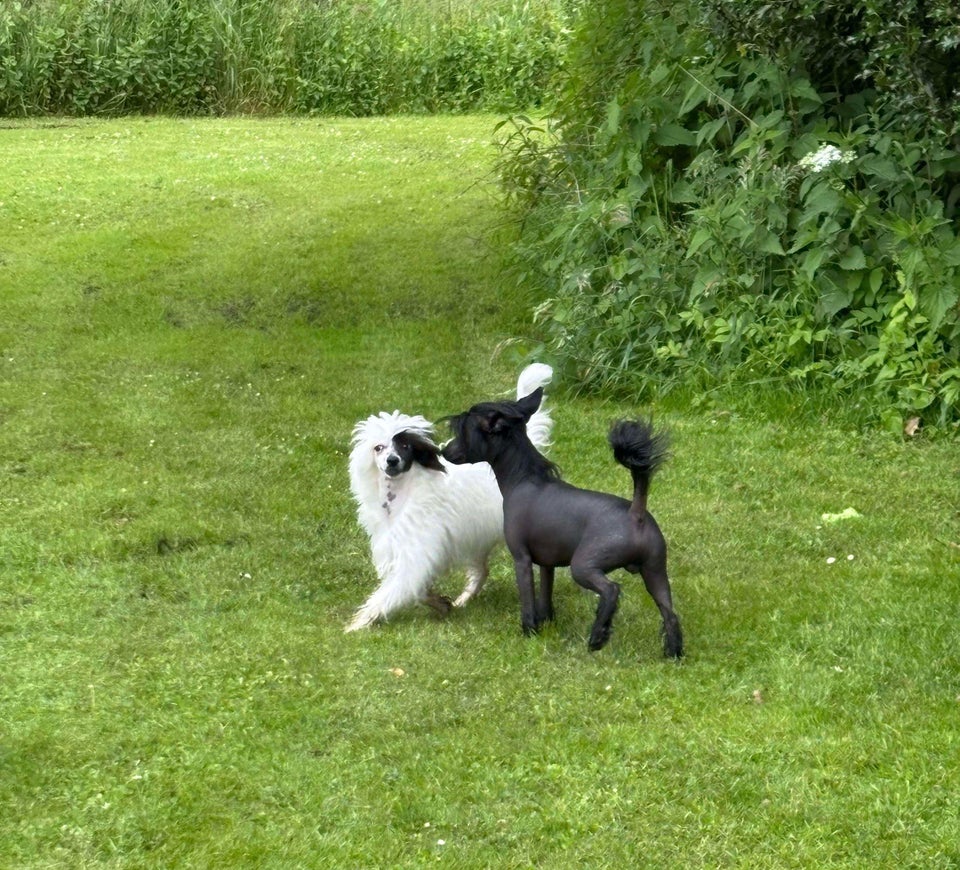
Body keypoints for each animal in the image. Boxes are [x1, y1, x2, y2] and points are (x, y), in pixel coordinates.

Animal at [346, 362, 556, 632]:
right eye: (379, 448)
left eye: (405, 446)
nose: (391, 461)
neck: (401, 492)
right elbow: (415, 587)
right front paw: (439, 603)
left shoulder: (418, 547)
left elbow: (395, 589)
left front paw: (360, 621)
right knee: (481, 570)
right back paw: (465, 597)